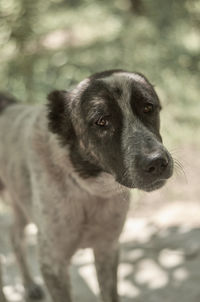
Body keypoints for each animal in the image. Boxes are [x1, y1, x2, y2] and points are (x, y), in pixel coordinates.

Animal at [0, 69, 173, 300]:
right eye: (101, 121)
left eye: (148, 107)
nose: (156, 162)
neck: (87, 190)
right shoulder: (53, 263)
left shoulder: (107, 249)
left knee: (14, 236)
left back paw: (28, 284)